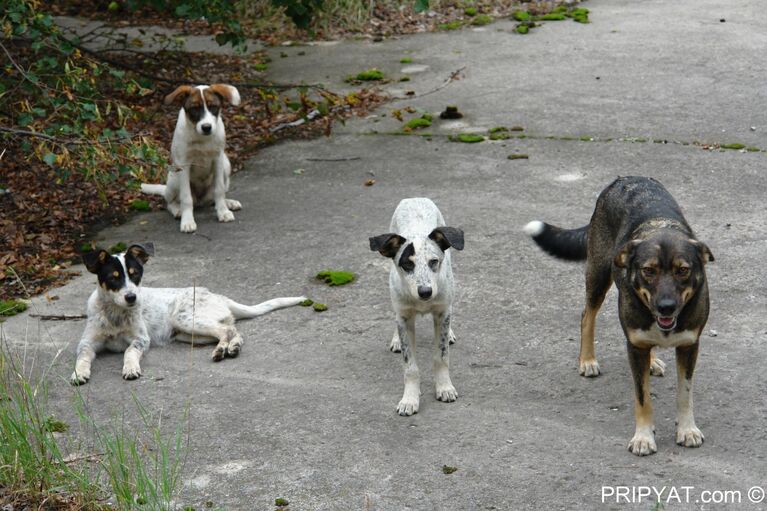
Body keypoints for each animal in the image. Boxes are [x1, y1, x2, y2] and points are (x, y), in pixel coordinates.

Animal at [141, 84, 242, 234]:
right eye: (194, 109)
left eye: (213, 106)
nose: (206, 127)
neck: (201, 138)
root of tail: (200, 201)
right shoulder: (184, 165)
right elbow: (186, 198)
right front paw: (188, 221)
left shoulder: (218, 160)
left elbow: (219, 190)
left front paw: (223, 211)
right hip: (174, 176)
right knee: (170, 202)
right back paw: (178, 210)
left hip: (226, 165)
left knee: (214, 198)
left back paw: (228, 203)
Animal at [528, 176, 712, 456]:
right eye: (648, 270)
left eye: (683, 270)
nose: (666, 307)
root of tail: (624, 178)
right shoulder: (634, 347)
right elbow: (642, 397)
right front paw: (643, 437)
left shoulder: (689, 345)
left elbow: (685, 393)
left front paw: (687, 430)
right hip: (598, 273)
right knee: (587, 316)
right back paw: (587, 360)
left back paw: (652, 361)